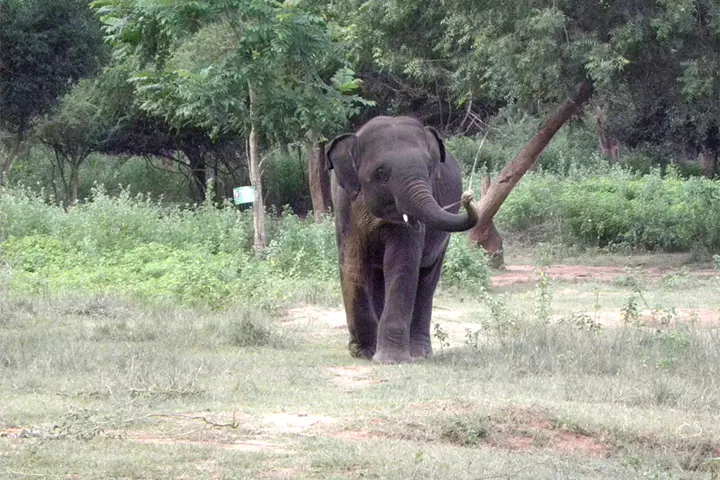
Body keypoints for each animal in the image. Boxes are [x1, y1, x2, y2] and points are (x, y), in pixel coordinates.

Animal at [328, 116, 478, 364]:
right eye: (381, 173)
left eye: (430, 168)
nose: (467, 197)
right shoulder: (344, 206)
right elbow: (353, 262)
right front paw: (363, 352)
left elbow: (401, 262)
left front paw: (390, 360)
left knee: (427, 279)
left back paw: (419, 353)